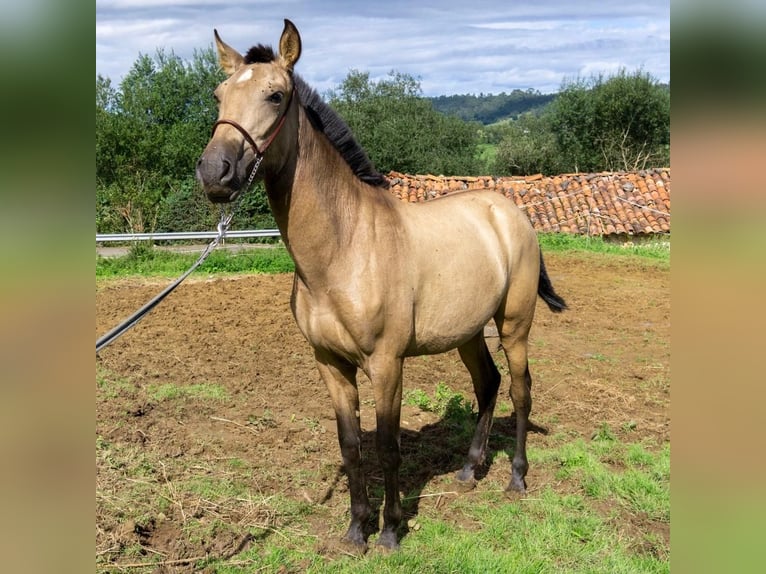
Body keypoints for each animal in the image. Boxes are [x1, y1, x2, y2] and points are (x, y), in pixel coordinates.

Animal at [195, 20, 568, 556]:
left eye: (275, 94)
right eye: (219, 94)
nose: (214, 173)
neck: (346, 248)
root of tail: (512, 213)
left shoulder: (387, 365)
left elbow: (388, 447)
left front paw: (391, 529)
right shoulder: (331, 364)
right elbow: (352, 447)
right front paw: (356, 529)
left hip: (514, 327)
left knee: (520, 391)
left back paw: (515, 478)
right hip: (468, 333)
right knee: (488, 384)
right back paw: (468, 471)